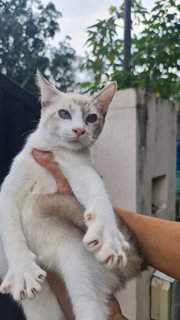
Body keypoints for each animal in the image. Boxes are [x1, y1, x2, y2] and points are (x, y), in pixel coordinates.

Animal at [0, 72, 145, 320]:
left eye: (91, 118)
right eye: (64, 114)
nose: (79, 130)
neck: (54, 151)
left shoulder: (82, 171)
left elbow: (99, 196)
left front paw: (108, 233)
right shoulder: (7, 192)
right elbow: (11, 233)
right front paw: (22, 271)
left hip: (77, 264)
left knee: (91, 308)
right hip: (42, 305)